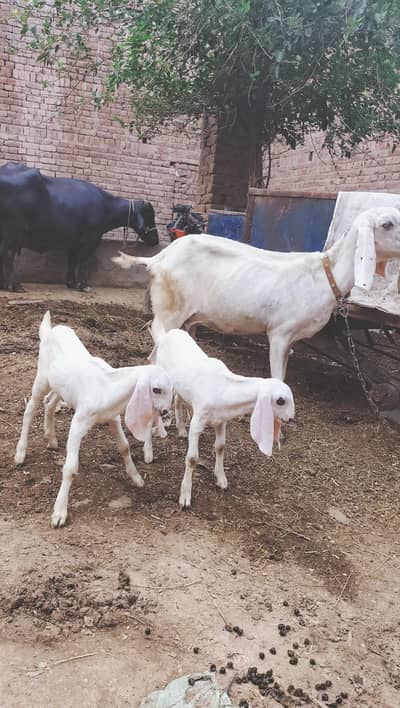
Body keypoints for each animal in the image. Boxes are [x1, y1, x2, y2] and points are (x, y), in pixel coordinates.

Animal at [14, 312, 172, 528]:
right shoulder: (79, 421)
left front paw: (136, 478)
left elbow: (124, 447)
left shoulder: (113, 417)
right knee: (30, 409)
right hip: (42, 378)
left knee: (49, 403)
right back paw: (20, 453)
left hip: (61, 387)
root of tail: (50, 330)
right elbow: (70, 468)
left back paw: (52, 439)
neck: (106, 388)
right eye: (156, 389)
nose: (165, 412)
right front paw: (59, 513)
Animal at [113, 207, 400, 380]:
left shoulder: (291, 339)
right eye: (387, 224)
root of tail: (159, 258)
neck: (325, 275)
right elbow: (277, 376)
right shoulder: (280, 332)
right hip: (170, 309)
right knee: (155, 345)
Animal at [145, 326, 295, 508]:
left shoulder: (221, 420)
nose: (290, 418)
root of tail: (167, 334)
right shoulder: (198, 421)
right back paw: (149, 453)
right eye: (280, 401)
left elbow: (221, 446)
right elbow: (192, 458)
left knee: (178, 400)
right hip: (162, 383)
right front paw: (185, 496)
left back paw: (181, 430)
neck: (223, 388)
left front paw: (221, 479)